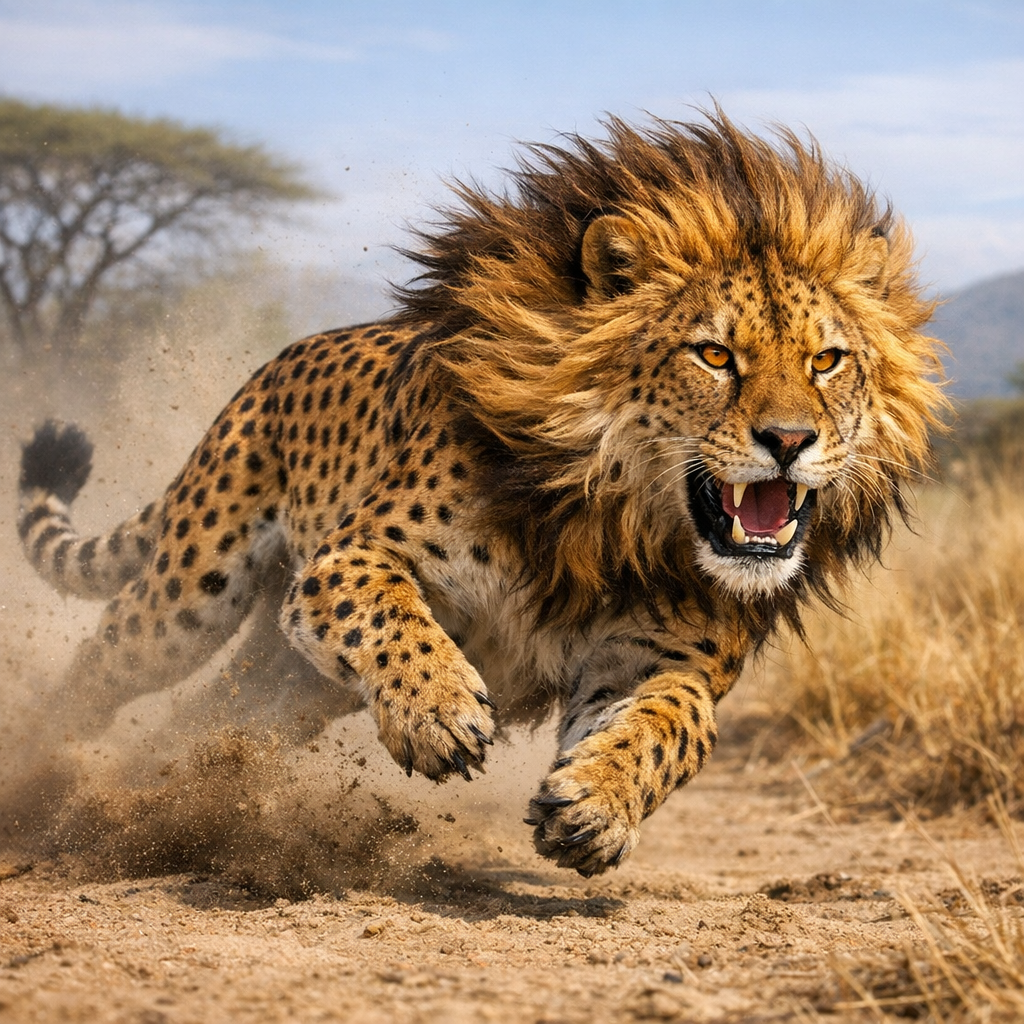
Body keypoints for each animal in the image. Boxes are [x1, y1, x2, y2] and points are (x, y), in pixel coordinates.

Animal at [17, 112, 944, 876]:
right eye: (714, 355)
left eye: (827, 361)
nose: (790, 442)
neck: (613, 518)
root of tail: (275, 362)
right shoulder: (345, 558)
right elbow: (387, 611)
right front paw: (438, 711)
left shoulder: (655, 661)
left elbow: (675, 728)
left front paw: (597, 805)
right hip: (189, 597)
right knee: (100, 666)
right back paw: (40, 770)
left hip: (291, 686)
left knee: (212, 720)